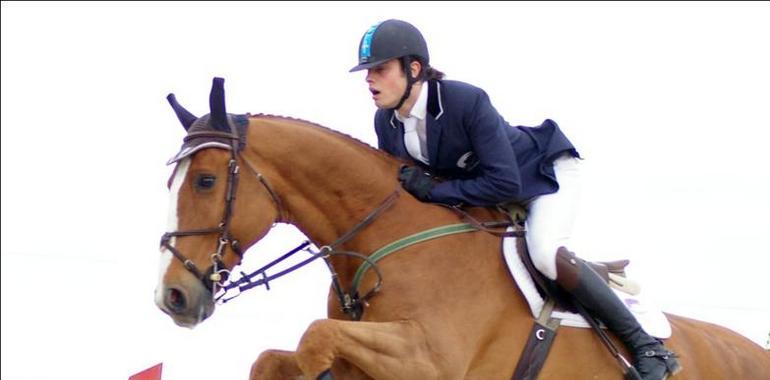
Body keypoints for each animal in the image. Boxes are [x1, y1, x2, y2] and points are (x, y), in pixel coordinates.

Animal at [156, 78, 768, 380]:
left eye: (206, 181)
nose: (172, 297)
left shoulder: (428, 359)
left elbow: (315, 339)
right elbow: (273, 359)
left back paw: (652, 359)